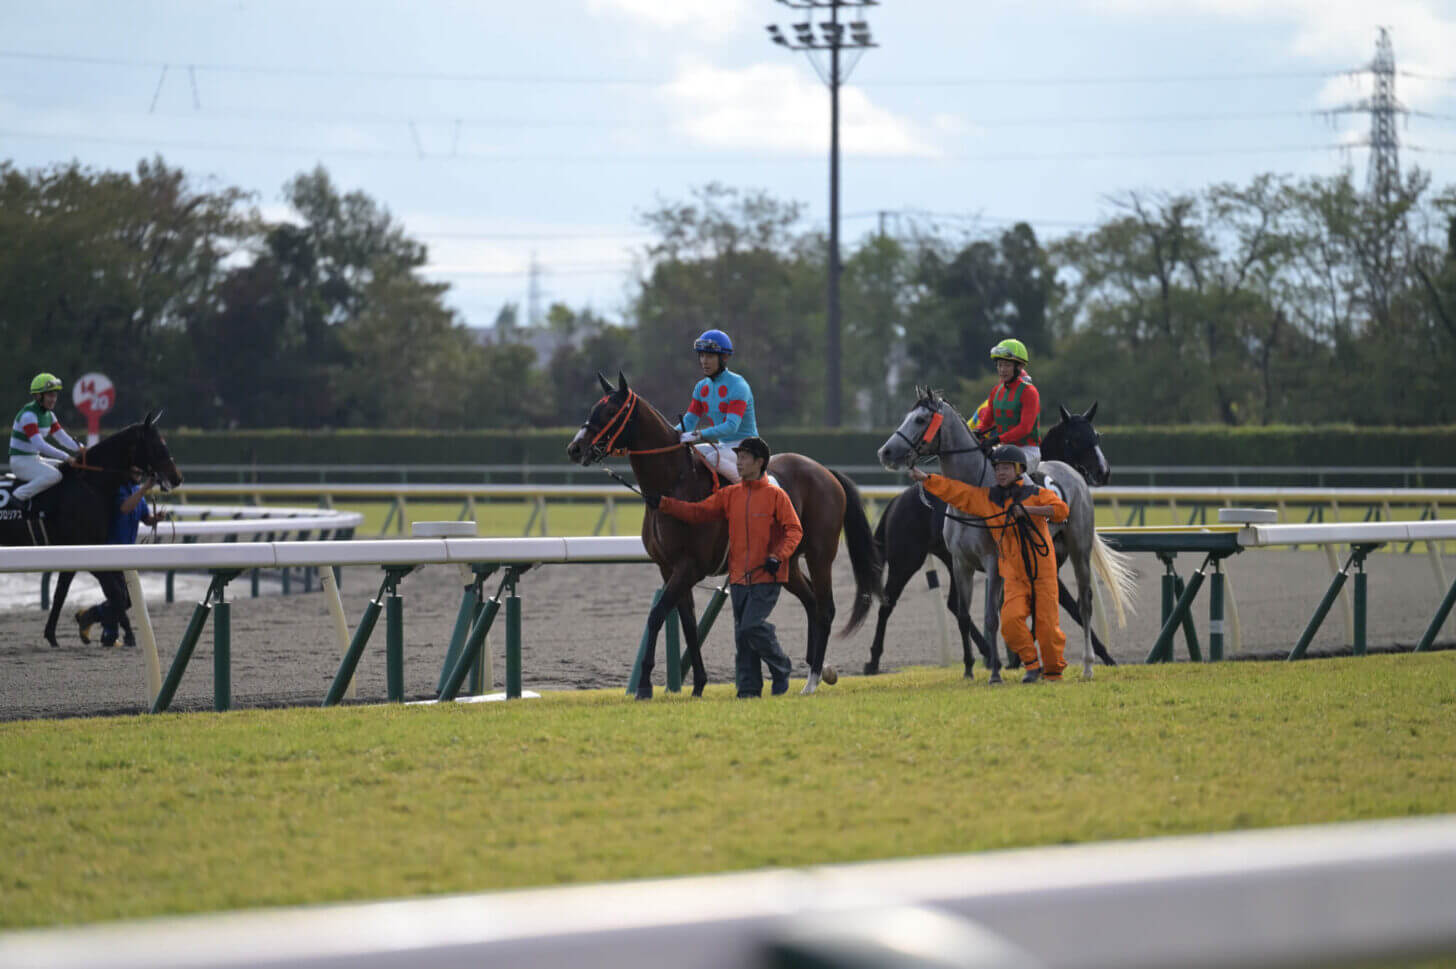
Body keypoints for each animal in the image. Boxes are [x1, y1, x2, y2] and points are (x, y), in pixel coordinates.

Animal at [0, 410, 184, 646]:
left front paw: (53, 634)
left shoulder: (76, 551)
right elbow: (116, 593)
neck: (91, 485)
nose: (176, 477)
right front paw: (122, 633)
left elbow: (61, 594)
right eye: (156, 445)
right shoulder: (88, 550)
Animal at [562, 372, 879, 698]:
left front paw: (645, 685)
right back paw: (815, 667)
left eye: (611, 411)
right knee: (812, 602)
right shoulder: (668, 568)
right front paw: (699, 684)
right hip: (784, 563)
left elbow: (657, 615)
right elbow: (688, 623)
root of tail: (826, 472)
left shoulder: (689, 567)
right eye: (593, 408)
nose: (575, 448)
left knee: (826, 608)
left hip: (820, 554)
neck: (673, 483)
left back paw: (813, 679)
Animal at [873, 384, 1135, 678]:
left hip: (1075, 548)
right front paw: (996, 661)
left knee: (1084, 599)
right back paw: (873, 661)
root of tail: (896, 501)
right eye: (1077, 439)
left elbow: (1010, 611)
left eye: (1096, 437)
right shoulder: (965, 561)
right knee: (891, 602)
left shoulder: (1005, 562)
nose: (886, 452)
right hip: (906, 559)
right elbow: (978, 613)